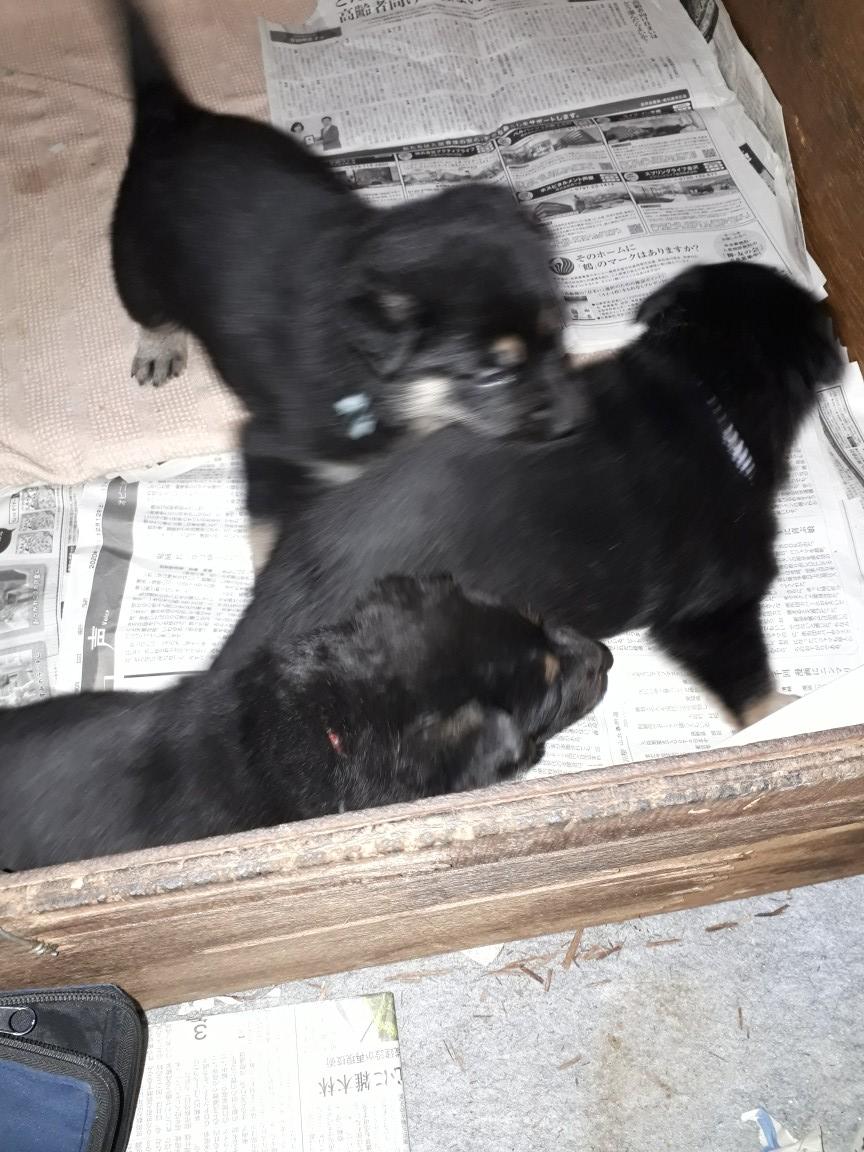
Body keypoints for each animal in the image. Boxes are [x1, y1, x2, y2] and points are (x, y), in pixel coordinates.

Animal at [110, 0, 567, 524]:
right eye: (492, 374)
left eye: (558, 337)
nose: (568, 425)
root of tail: (177, 119)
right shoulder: (277, 443)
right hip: (134, 262)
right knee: (151, 314)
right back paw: (159, 348)